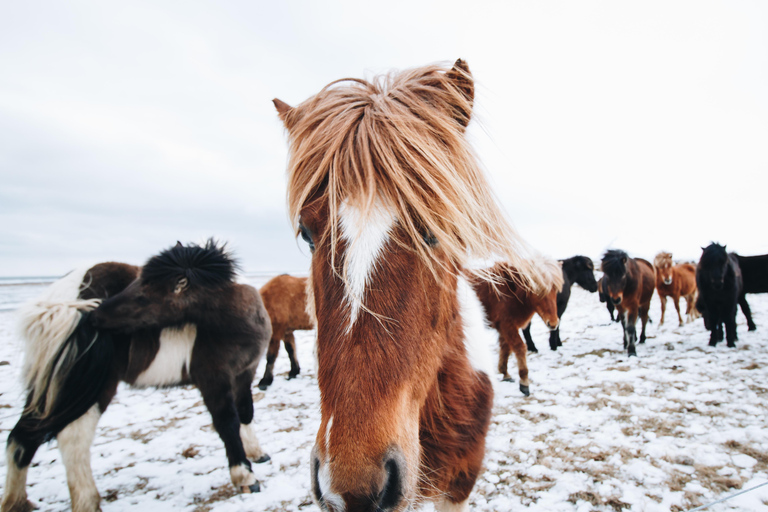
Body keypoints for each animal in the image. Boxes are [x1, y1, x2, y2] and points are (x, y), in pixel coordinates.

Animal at [2, 240, 272, 512]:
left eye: (142, 296)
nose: (95, 316)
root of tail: (56, 301)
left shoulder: (244, 374)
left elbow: (245, 413)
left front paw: (257, 454)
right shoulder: (213, 380)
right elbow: (227, 423)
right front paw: (245, 476)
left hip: (52, 389)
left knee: (21, 438)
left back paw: (16, 501)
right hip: (92, 389)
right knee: (72, 438)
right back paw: (87, 500)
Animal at [472, 258, 560, 394]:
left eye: (555, 290)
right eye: (538, 291)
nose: (553, 323)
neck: (509, 293)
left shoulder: (504, 328)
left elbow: (506, 348)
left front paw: (505, 373)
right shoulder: (507, 326)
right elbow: (520, 348)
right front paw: (524, 383)